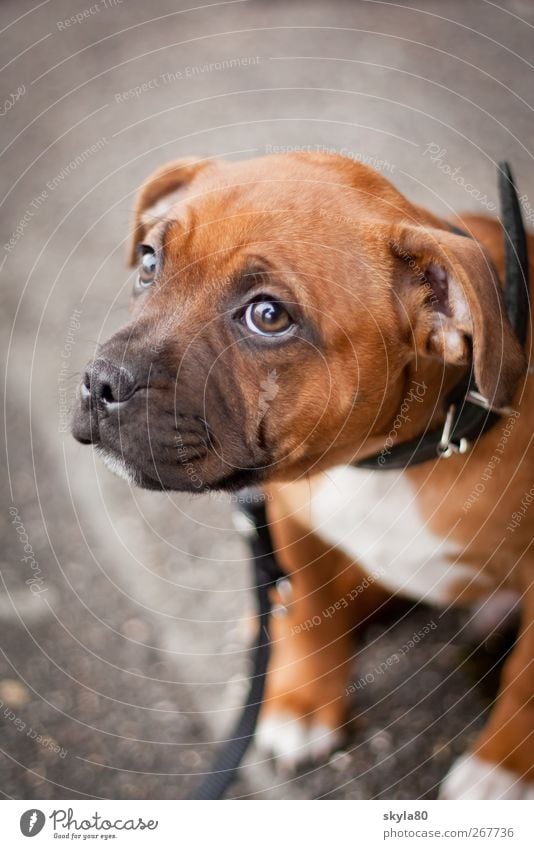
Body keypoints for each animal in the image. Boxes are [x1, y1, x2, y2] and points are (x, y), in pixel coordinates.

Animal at [72, 156, 534, 800]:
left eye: (269, 316)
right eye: (148, 263)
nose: (100, 381)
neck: (385, 460)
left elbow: (526, 680)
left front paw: (505, 767)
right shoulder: (295, 523)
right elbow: (315, 614)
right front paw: (304, 704)